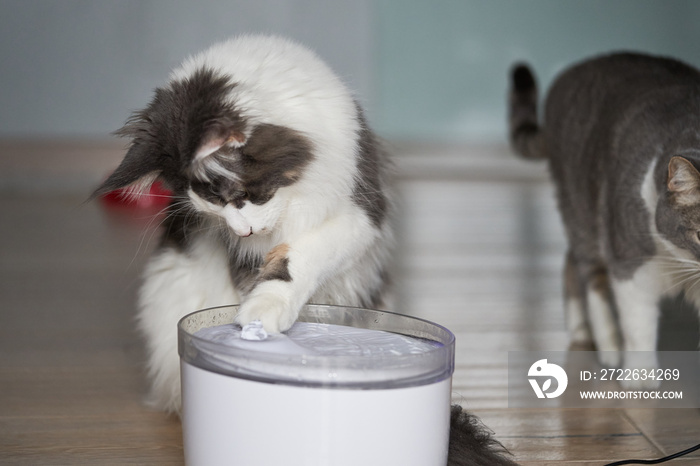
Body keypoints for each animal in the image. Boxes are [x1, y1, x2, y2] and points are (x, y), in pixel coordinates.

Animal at [95, 34, 516, 464]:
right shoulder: (240, 255)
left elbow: (296, 259)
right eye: (212, 210)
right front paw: (253, 328)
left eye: (239, 196)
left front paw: (264, 312)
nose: (243, 232)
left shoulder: (360, 212)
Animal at [508, 52, 700, 378]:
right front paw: (639, 379)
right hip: (582, 209)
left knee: (570, 260)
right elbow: (638, 325)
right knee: (589, 272)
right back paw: (603, 343)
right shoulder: (630, 260)